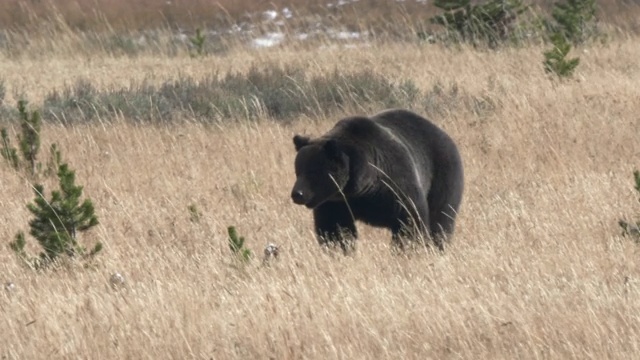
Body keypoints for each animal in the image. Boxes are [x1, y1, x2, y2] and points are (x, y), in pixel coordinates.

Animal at [292, 108, 464, 252]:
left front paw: (407, 249)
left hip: (442, 175)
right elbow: (335, 229)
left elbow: (410, 220)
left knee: (441, 218)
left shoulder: (394, 185)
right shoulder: (336, 202)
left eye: (313, 172)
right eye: (298, 170)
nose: (297, 194)